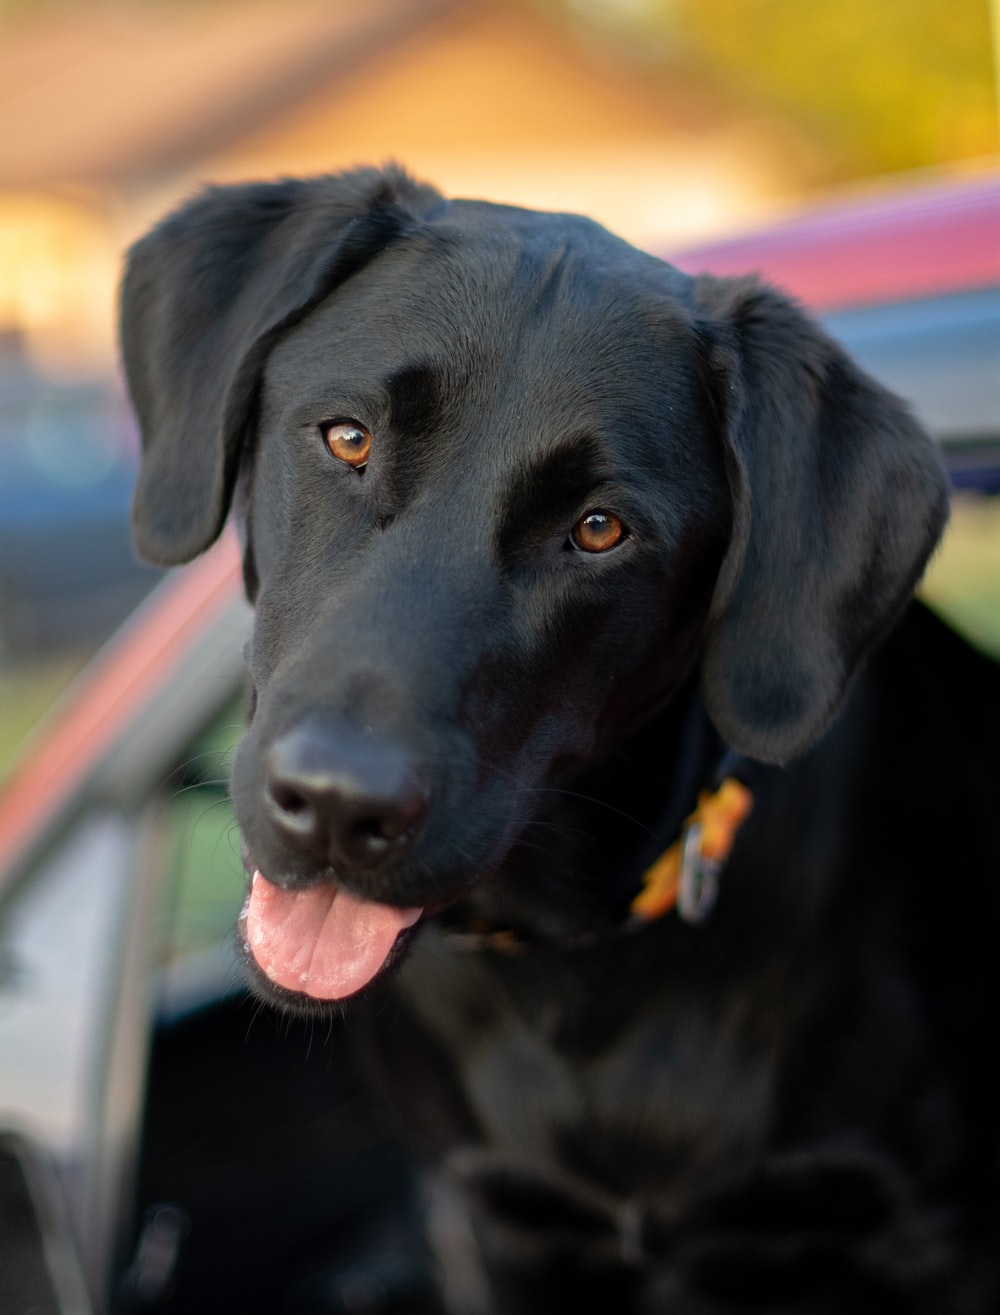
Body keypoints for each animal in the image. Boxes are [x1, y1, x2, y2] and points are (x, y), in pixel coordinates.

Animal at [121, 169, 994, 1309]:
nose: (338, 805)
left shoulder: (933, 1234)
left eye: (599, 529)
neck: (568, 980)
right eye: (348, 438)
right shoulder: (491, 1219)